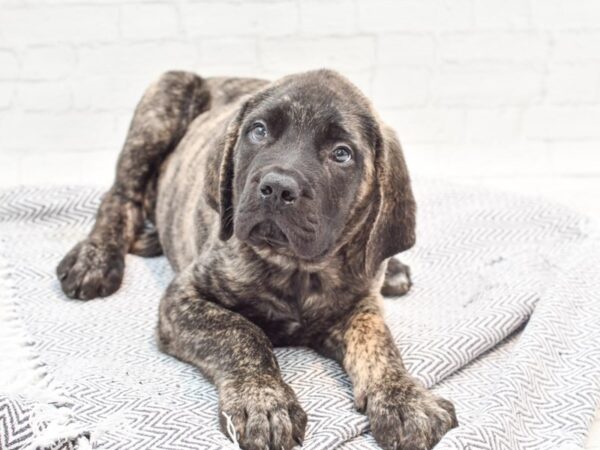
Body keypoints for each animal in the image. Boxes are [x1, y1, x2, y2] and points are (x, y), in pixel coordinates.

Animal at [57, 70, 460, 450]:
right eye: (259, 131)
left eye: (342, 153)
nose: (278, 187)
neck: (296, 268)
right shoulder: (184, 297)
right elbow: (241, 332)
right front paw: (263, 403)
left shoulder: (360, 305)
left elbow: (378, 343)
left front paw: (403, 398)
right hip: (163, 101)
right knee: (121, 197)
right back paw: (95, 258)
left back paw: (393, 270)